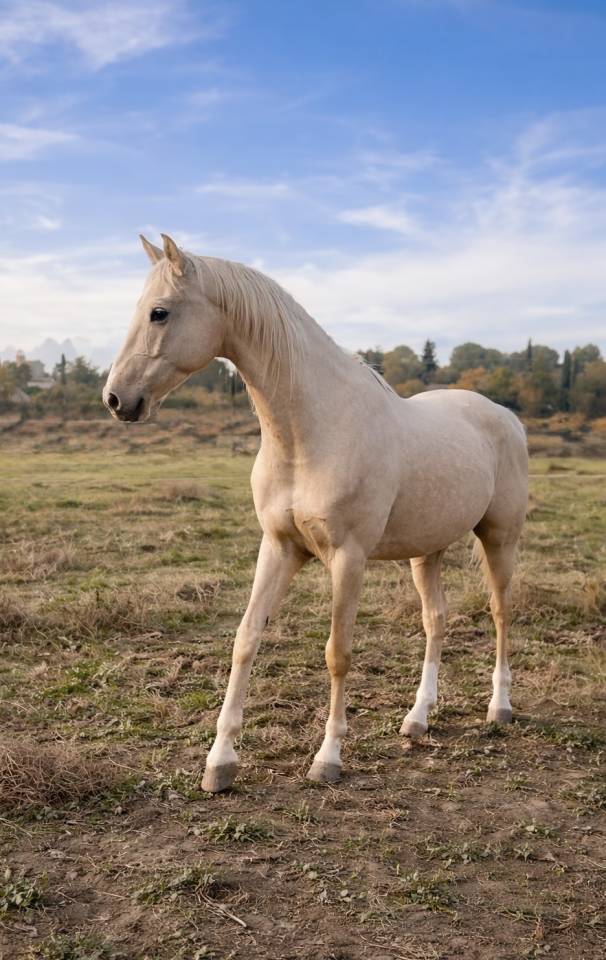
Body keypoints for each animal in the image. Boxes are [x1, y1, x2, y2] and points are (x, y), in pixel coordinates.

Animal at [103, 233, 528, 792]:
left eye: (159, 312)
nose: (115, 398)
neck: (311, 431)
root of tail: (505, 416)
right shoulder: (279, 548)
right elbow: (246, 639)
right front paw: (220, 762)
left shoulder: (348, 558)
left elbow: (337, 653)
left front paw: (328, 758)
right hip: (427, 551)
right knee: (436, 620)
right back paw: (417, 718)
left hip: (498, 539)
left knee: (500, 613)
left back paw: (498, 707)